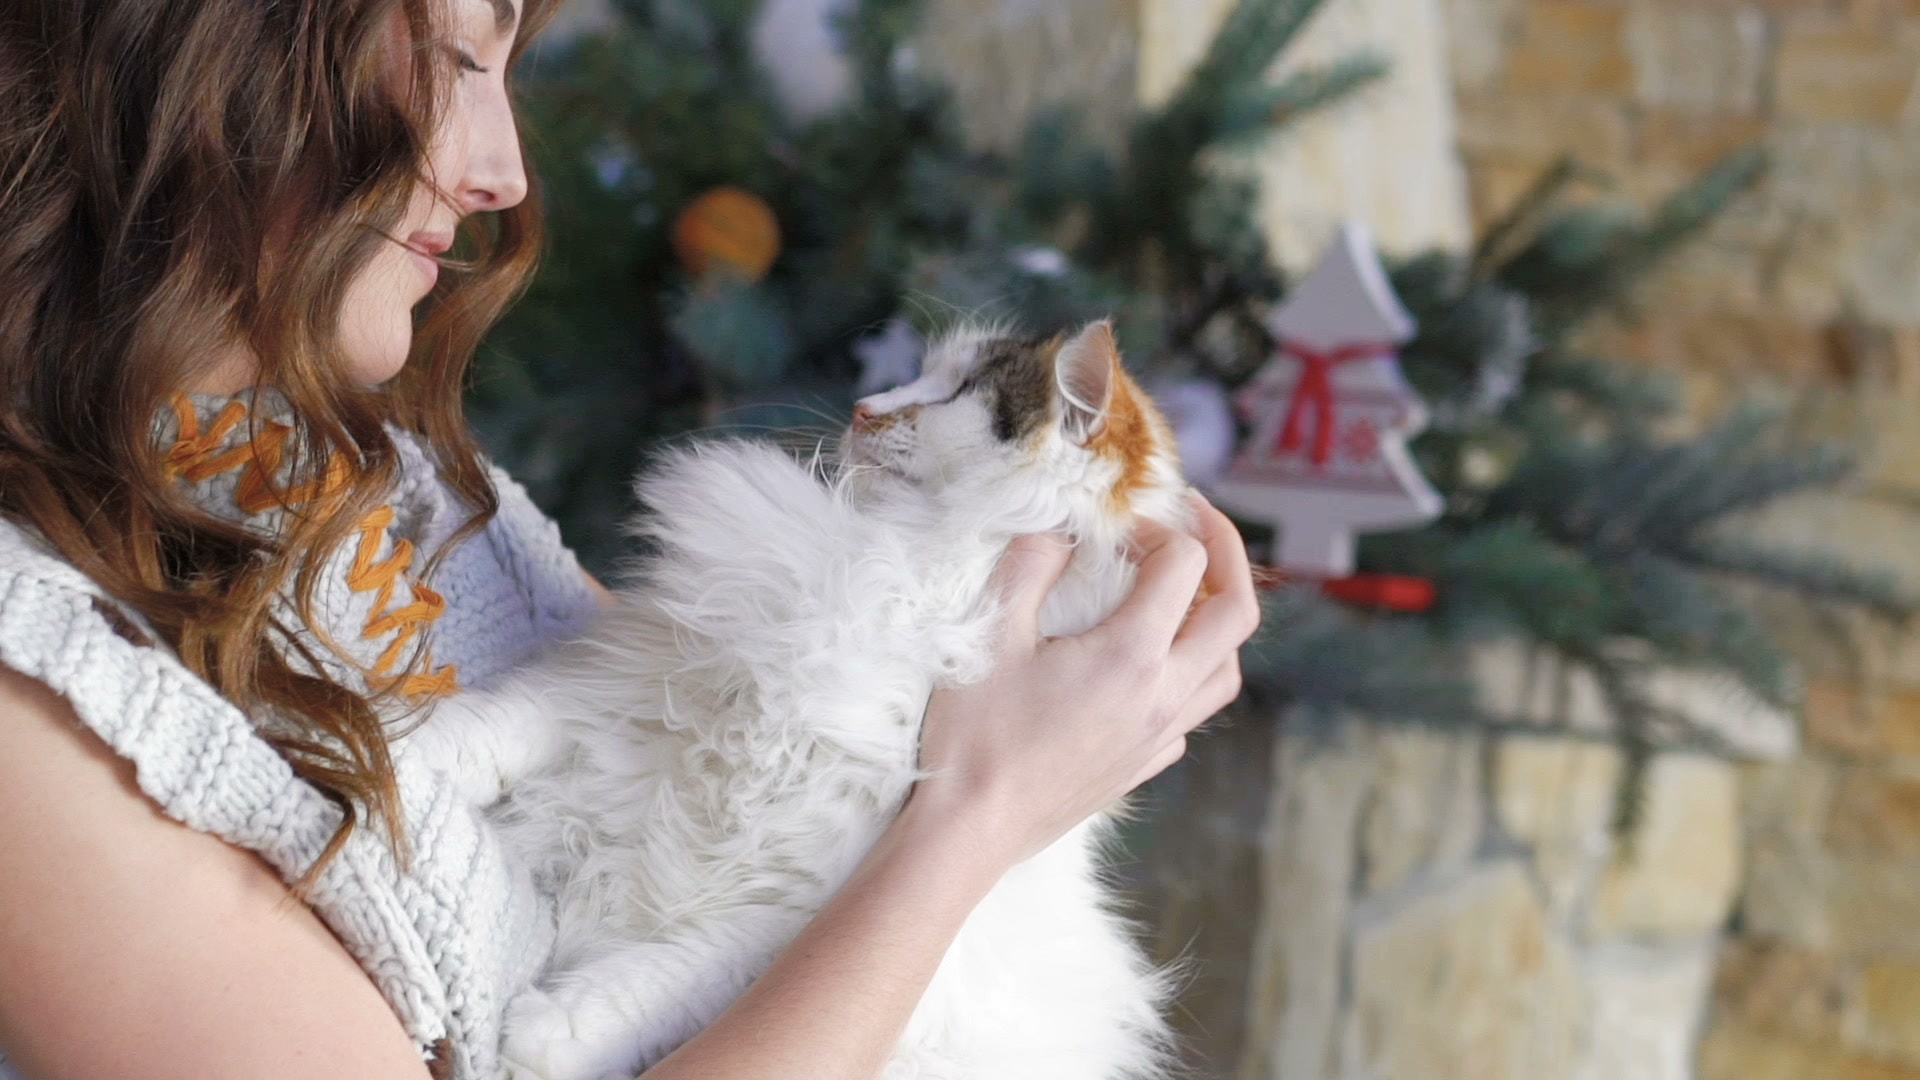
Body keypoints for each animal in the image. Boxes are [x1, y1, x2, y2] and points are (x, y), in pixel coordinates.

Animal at [412, 319, 1190, 1076]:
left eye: (959, 390)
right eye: (921, 377)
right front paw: (408, 759)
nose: (864, 407)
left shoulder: (801, 901)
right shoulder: (637, 678)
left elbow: (665, 979)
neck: (908, 574)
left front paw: (550, 1035)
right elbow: (505, 724)